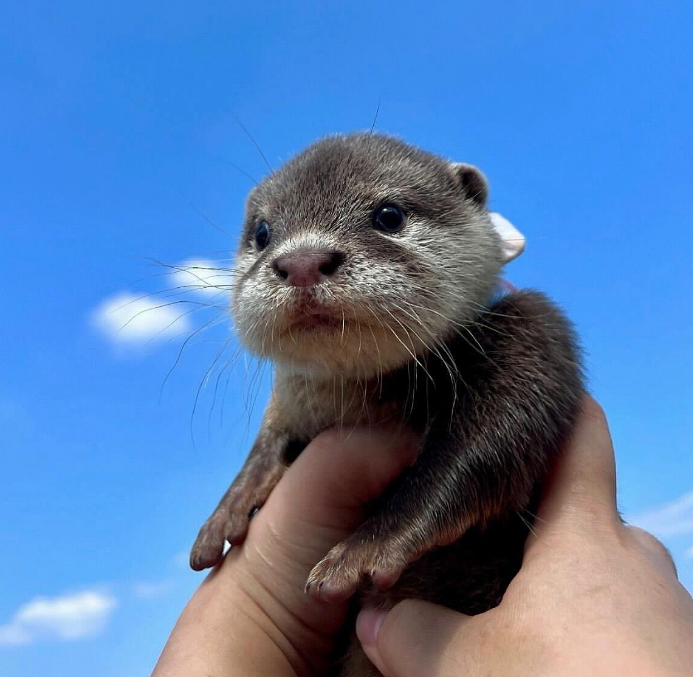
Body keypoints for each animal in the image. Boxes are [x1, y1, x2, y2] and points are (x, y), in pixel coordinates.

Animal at [190, 133, 583, 677]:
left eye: (389, 215)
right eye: (262, 232)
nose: (303, 261)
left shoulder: (532, 332)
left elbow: (482, 445)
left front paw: (368, 547)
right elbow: (269, 438)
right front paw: (230, 504)